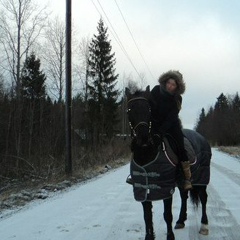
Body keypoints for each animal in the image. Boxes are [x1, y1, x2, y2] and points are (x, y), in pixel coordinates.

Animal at [125, 86, 212, 240]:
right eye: (130, 110)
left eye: (149, 109)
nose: (143, 139)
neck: (148, 153)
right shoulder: (143, 188)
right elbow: (147, 216)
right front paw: (149, 237)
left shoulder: (166, 188)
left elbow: (167, 215)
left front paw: (170, 236)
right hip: (182, 181)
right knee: (184, 196)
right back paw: (181, 220)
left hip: (202, 178)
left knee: (203, 198)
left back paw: (204, 225)